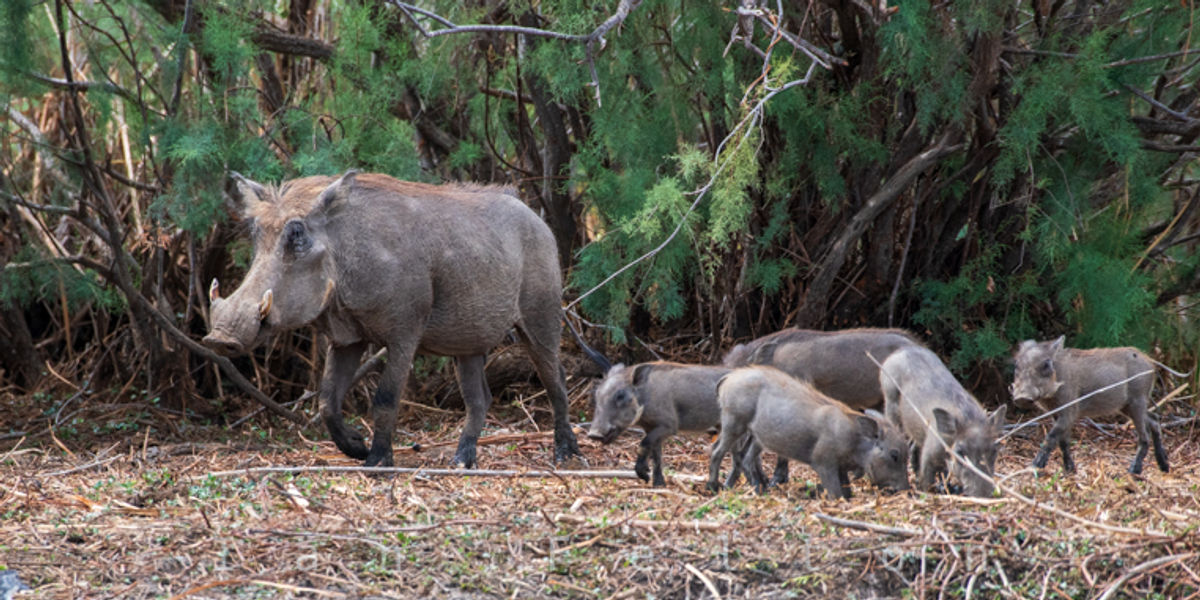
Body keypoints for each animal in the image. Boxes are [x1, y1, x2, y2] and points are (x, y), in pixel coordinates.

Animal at [204, 171, 590, 468]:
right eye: (256, 233)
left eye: (296, 235)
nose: (219, 338)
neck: (345, 255)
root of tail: (534, 215)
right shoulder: (346, 339)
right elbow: (328, 401)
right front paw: (356, 448)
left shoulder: (404, 333)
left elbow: (386, 399)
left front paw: (377, 461)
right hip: (468, 343)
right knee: (479, 399)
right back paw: (462, 461)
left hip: (541, 319)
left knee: (556, 381)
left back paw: (566, 454)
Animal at [707, 366, 910, 499]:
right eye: (894, 455)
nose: (907, 491)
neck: (855, 438)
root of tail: (728, 377)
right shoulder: (823, 463)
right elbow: (836, 494)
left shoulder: (841, 467)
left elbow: (847, 492)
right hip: (734, 423)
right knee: (717, 451)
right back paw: (713, 487)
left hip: (755, 435)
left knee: (744, 458)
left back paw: (755, 490)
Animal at [880, 346, 1006, 497]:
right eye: (960, 452)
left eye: (994, 451)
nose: (984, 496)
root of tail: (901, 350)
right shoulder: (929, 455)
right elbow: (926, 479)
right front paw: (925, 493)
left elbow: (944, 473)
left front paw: (947, 488)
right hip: (891, 405)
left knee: (914, 447)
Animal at [1011, 336, 1170, 475]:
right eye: (1016, 364)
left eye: (1046, 364)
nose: (1021, 398)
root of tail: (1150, 362)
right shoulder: (1056, 414)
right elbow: (1063, 442)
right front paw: (1070, 470)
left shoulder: (1069, 412)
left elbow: (1051, 437)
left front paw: (1035, 466)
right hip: (1127, 407)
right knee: (1154, 420)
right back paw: (1164, 466)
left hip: (1137, 402)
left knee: (1144, 436)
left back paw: (1134, 471)